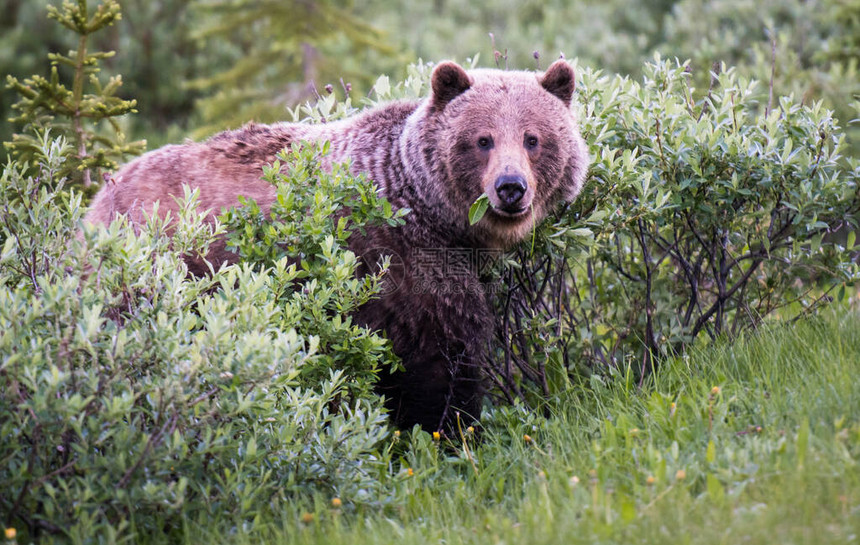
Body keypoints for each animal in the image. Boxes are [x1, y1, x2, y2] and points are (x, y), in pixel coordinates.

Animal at [85, 59, 592, 432]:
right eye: (482, 139)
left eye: (533, 138)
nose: (510, 188)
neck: (429, 210)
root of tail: (96, 200)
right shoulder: (403, 264)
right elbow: (442, 358)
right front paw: (450, 431)